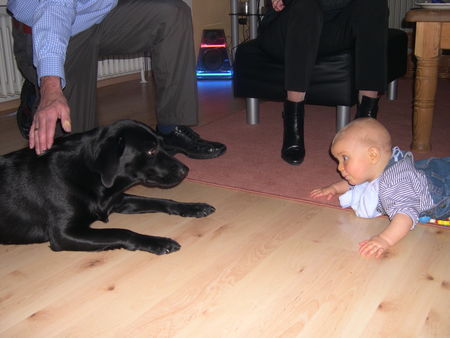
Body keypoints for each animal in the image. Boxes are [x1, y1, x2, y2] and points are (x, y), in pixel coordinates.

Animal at [0, 120, 214, 255]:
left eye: (162, 144)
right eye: (150, 150)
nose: (186, 170)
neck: (90, 174)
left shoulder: (118, 199)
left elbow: (162, 200)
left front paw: (193, 207)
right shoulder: (64, 233)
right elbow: (122, 232)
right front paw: (159, 242)